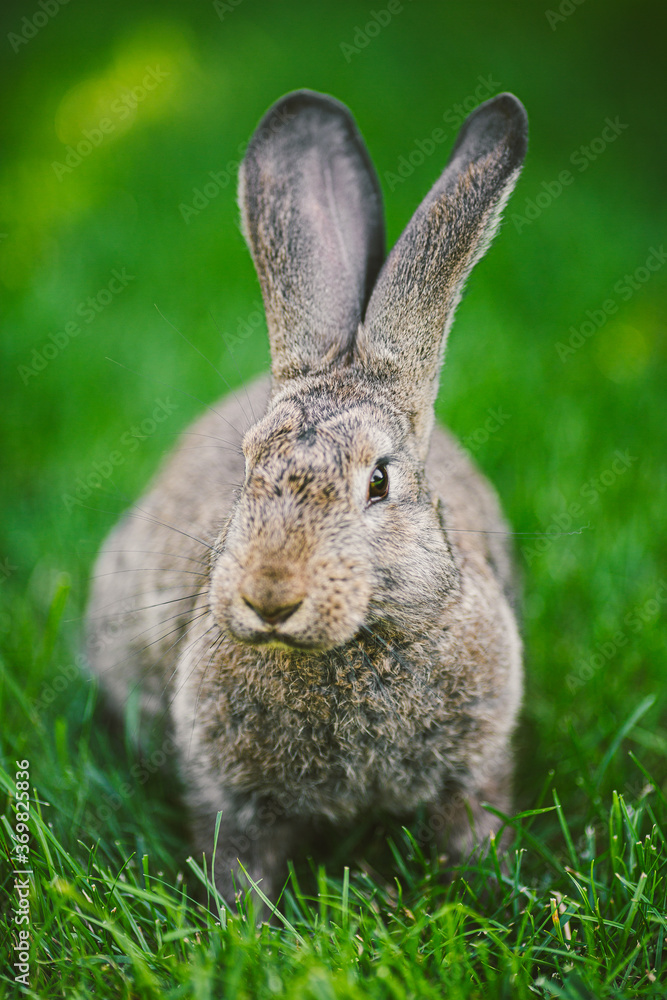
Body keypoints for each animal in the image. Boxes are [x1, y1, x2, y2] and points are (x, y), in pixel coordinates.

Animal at [87, 88, 528, 906]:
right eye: (246, 466)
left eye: (378, 481)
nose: (270, 595)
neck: (354, 644)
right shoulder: (230, 796)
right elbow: (238, 864)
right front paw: (241, 924)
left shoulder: (476, 766)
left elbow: (473, 832)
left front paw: (495, 895)